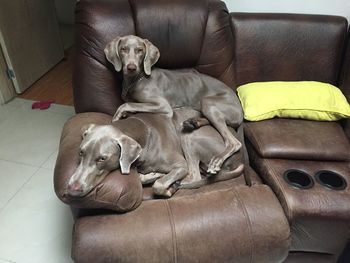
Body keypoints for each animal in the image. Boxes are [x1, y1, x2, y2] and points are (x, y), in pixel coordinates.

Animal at [67, 108, 245, 198]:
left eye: (102, 159)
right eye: (81, 152)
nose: (72, 188)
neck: (141, 130)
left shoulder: (180, 164)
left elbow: (159, 185)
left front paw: (167, 184)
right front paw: (151, 175)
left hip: (189, 136)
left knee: (195, 176)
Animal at [102, 35, 242, 175]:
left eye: (140, 50)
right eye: (123, 49)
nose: (131, 67)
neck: (136, 79)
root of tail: (240, 109)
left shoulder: (163, 106)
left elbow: (126, 105)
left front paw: (117, 117)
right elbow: (128, 104)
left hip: (208, 102)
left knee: (234, 142)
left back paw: (216, 161)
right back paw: (193, 122)